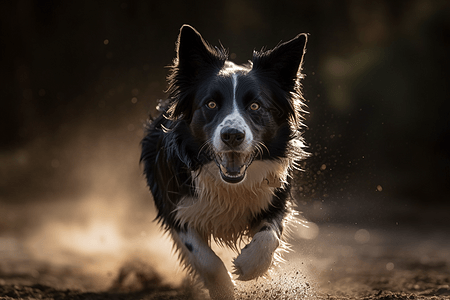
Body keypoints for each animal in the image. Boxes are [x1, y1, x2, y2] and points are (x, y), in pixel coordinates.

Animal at [142, 24, 310, 298]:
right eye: (211, 104)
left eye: (255, 106)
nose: (232, 135)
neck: (230, 185)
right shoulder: (175, 206)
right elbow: (206, 259)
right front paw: (224, 289)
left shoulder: (277, 196)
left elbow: (270, 235)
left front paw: (250, 265)